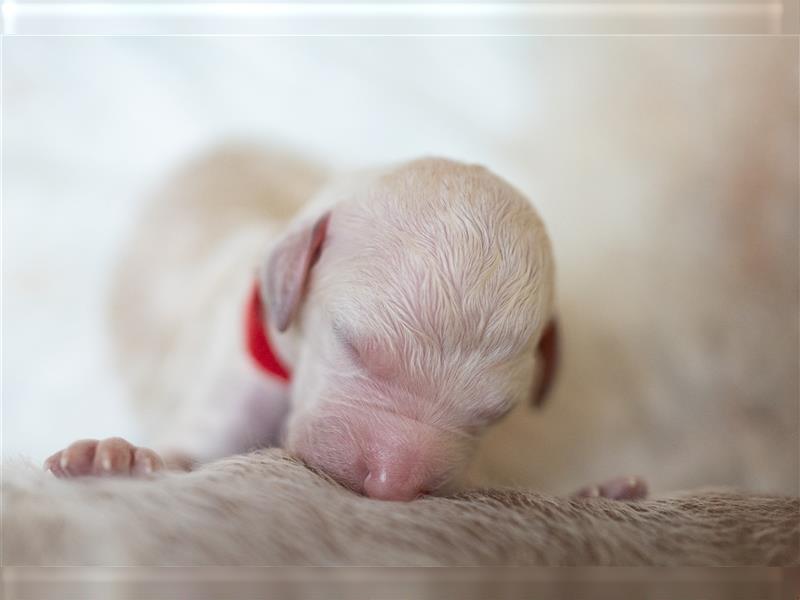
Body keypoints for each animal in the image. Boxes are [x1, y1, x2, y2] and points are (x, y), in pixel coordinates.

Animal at [43, 151, 644, 502]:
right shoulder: (225, 389)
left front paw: (598, 494)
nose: (392, 486)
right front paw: (112, 458)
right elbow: (182, 453)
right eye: (351, 344)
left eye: (495, 413)